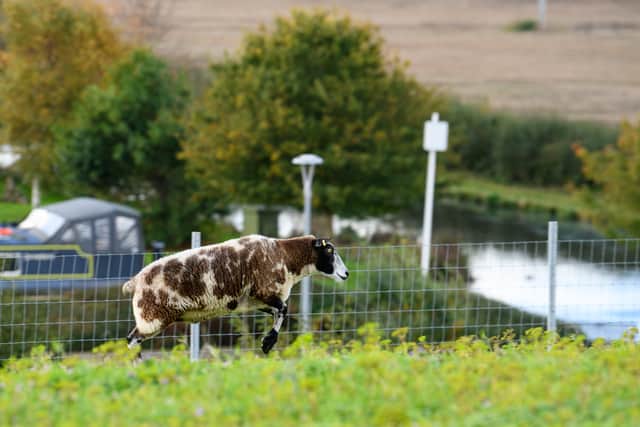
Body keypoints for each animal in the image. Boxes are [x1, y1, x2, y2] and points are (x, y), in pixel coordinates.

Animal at [123, 234, 349, 354]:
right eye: (330, 251)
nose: (346, 274)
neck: (286, 257)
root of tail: (135, 281)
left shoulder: (256, 300)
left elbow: (280, 312)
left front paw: (268, 341)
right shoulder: (265, 291)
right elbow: (284, 309)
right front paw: (268, 342)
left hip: (151, 317)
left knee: (132, 339)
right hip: (152, 317)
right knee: (132, 340)